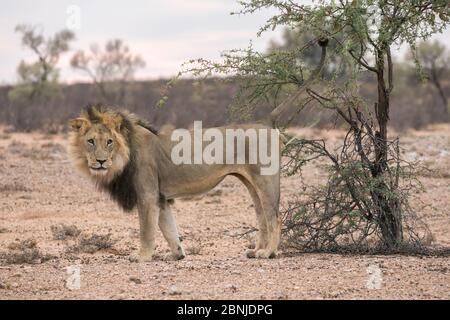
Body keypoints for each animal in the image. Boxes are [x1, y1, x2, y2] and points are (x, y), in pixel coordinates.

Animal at [67, 40, 326, 262]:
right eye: (91, 141)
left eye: (109, 142)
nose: (100, 162)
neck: (125, 153)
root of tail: (265, 122)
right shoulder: (161, 197)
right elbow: (169, 228)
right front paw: (177, 254)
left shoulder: (148, 194)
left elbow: (147, 229)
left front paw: (141, 256)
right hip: (251, 182)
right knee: (262, 216)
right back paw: (256, 250)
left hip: (266, 179)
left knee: (275, 217)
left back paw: (268, 252)